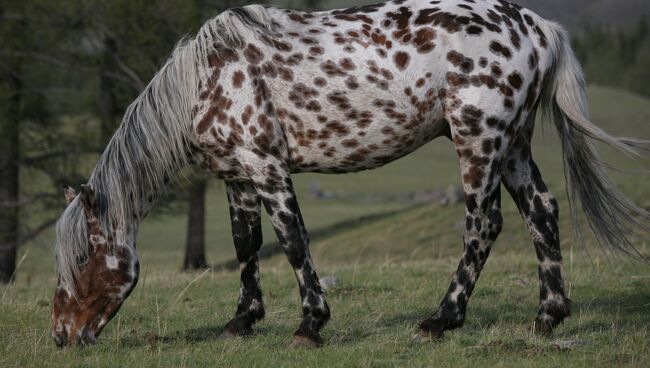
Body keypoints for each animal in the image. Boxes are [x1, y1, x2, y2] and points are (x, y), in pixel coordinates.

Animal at [52, 0, 648, 348]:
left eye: (80, 259)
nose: (62, 336)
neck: (208, 79)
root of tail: (539, 27)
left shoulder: (267, 166)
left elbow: (291, 240)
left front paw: (310, 324)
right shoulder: (237, 175)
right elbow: (247, 246)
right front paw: (243, 320)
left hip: (480, 141)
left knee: (485, 224)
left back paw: (442, 319)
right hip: (514, 146)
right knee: (541, 214)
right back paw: (548, 315)